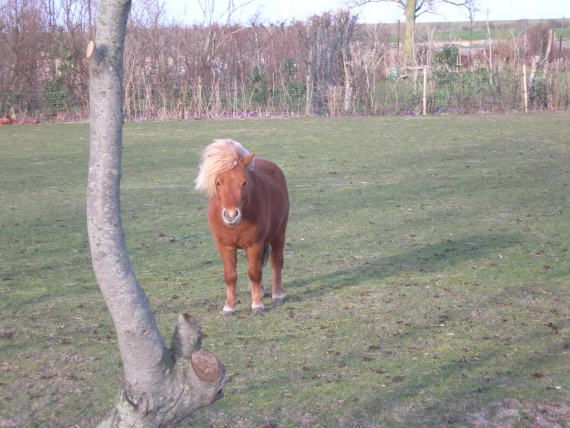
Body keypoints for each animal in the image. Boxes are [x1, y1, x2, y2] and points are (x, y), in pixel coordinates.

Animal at [195, 140, 288, 314]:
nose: (231, 215)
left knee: (276, 262)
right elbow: (230, 275)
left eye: (244, 182)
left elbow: (254, 272)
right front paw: (229, 306)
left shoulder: (255, 244)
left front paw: (257, 304)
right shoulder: (225, 246)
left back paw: (277, 294)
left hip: (279, 233)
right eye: (218, 182)